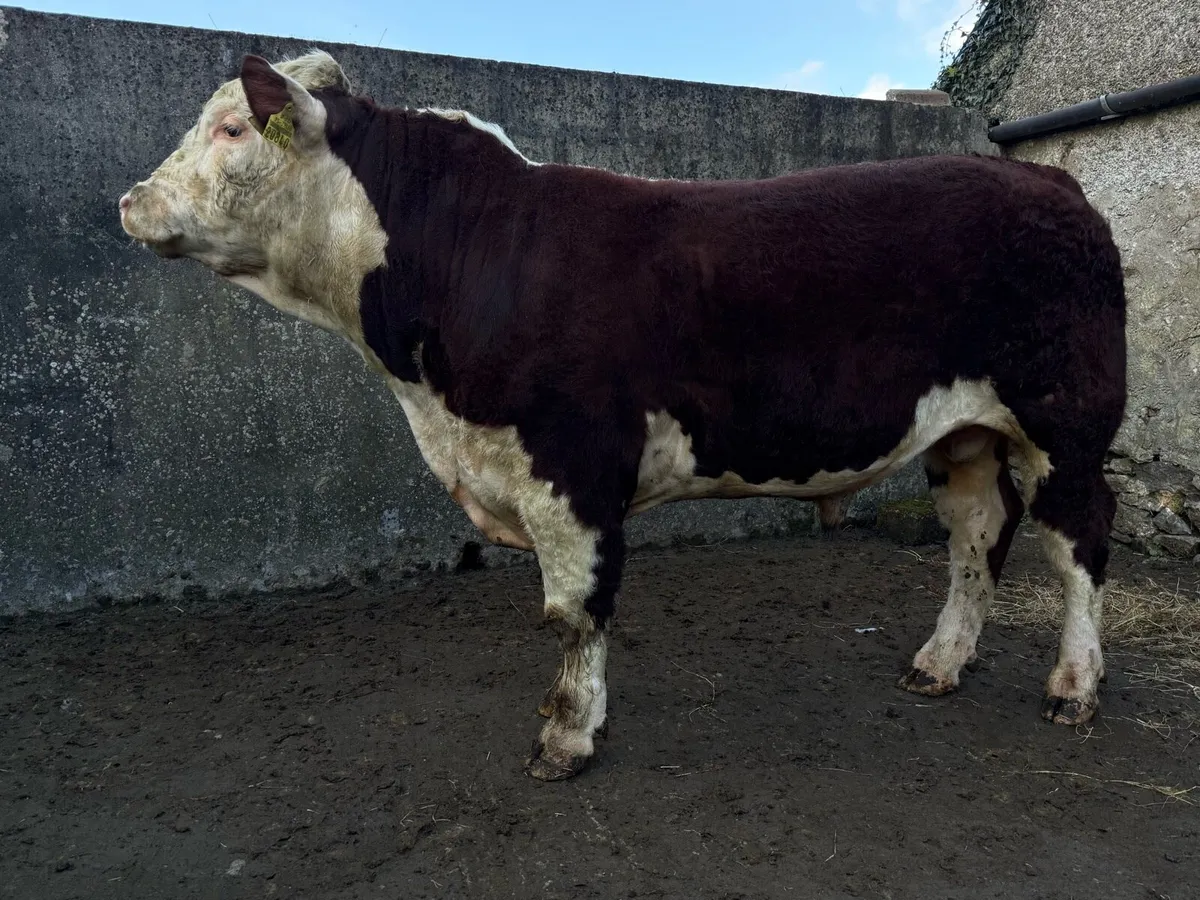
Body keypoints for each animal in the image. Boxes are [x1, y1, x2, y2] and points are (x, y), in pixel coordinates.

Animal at [119, 51, 1127, 781]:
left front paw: (566, 737)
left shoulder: (572, 469)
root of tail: (1053, 186)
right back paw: (940, 663)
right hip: (965, 433)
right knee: (978, 534)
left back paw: (1074, 686)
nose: (132, 199)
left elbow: (575, 611)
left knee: (1077, 543)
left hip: (1067, 423)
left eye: (231, 126)